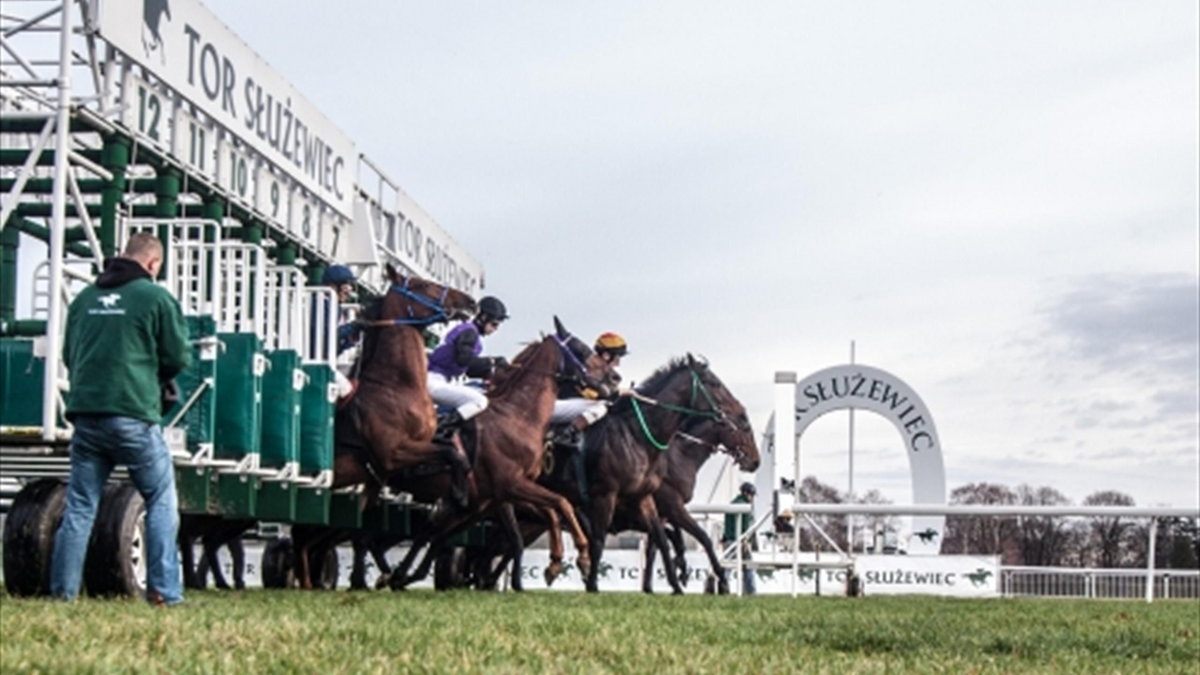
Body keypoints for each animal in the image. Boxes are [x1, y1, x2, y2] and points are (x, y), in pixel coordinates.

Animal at [288, 265, 475, 586]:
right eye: (423, 285)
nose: (469, 301)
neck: (396, 386)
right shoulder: (393, 454)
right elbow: (452, 454)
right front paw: (460, 495)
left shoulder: (379, 475)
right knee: (299, 534)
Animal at [388, 317, 619, 586]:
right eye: (582, 349)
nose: (615, 378)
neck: (517, 417)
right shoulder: (509, 486)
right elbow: (559, 506)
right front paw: (575, 558)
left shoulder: (494, 497)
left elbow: (551, 512)